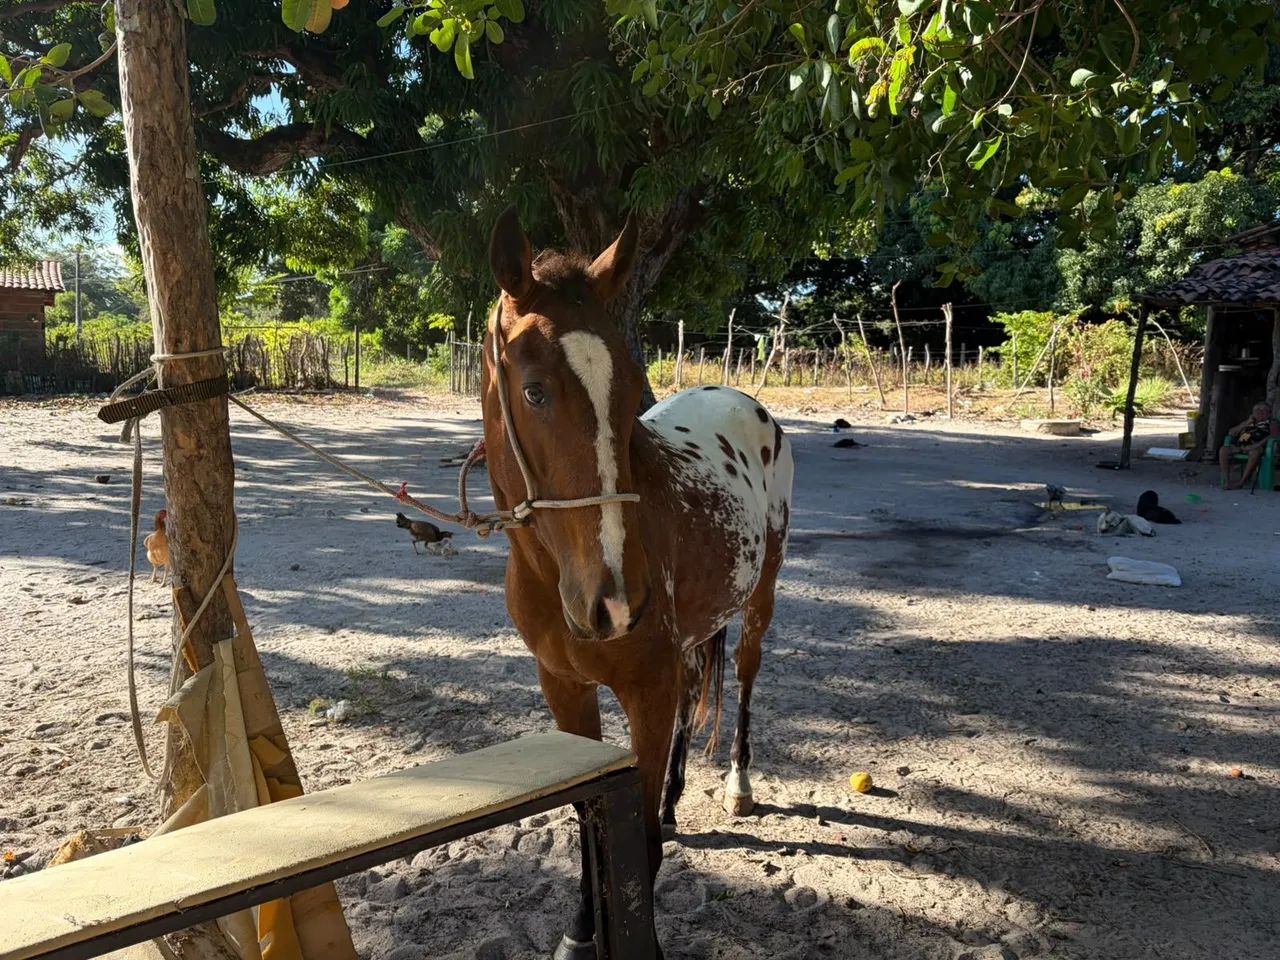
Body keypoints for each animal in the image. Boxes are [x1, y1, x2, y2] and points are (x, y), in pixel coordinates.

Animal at [482, 206, 794, 959]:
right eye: (534, 390)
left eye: (628, 390)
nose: (616, 602)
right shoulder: (564, 688)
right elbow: (589, 824)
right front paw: (578, 931)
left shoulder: (644, 690)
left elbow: (638, 840)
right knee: (695, 685)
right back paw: (679, 795)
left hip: (760, 598)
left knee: (744, 675)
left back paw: (737, 783)